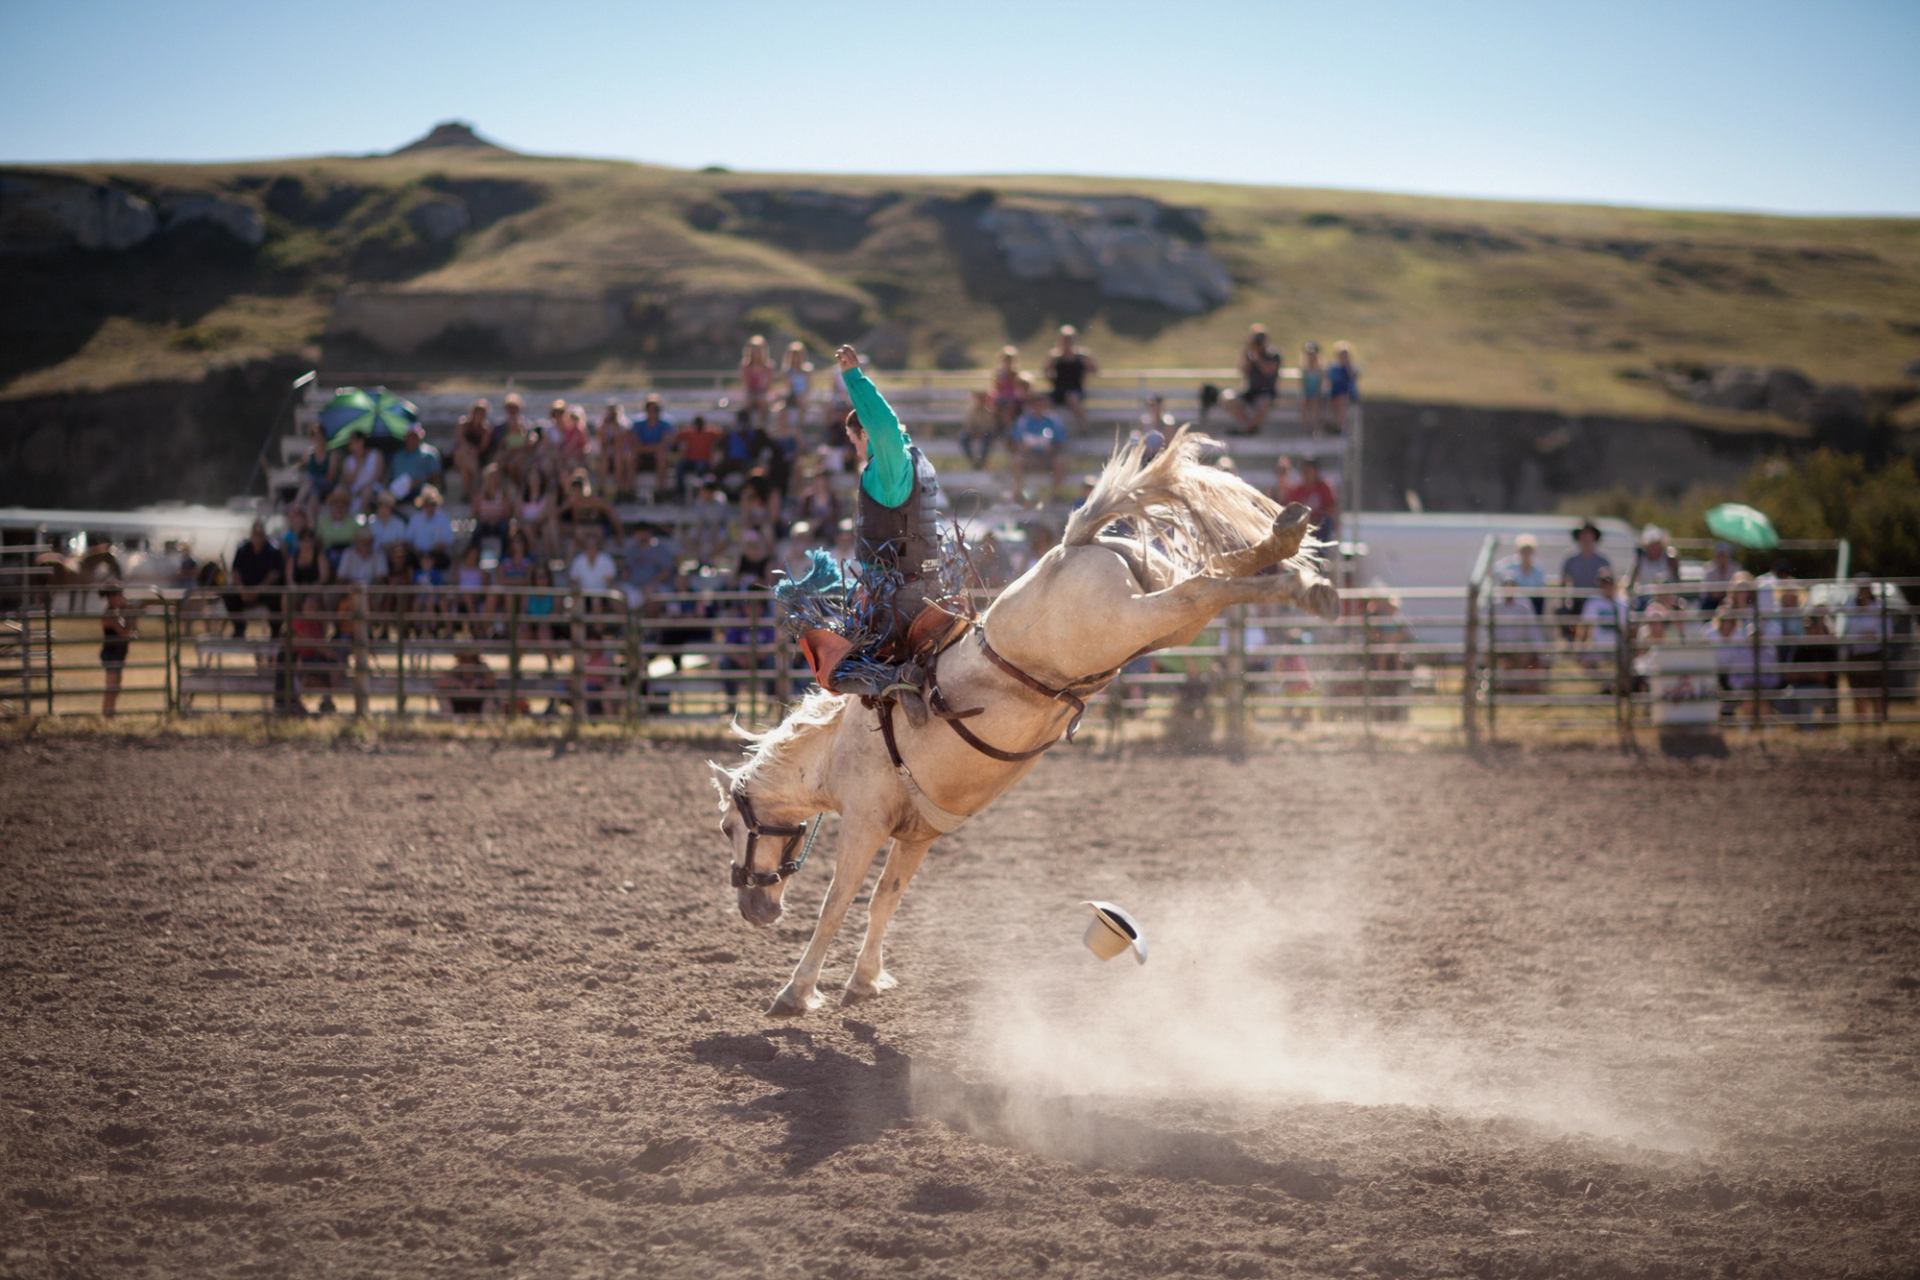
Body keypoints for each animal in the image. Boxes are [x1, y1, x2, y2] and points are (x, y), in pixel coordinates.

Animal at [709, 428, 1340, 1015]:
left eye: (728, 827)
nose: (752, 908)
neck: (838, 748)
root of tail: (1068, 546)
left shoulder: (865, 823)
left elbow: (836, 904)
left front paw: (796, 992)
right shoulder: (918, 834)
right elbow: (886, 898)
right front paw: (865, 981)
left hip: (1140, 619)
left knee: (1205, 585)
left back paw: (1300, 571)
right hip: (1160, 615)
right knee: (1215, 577)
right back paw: (1298, 571)